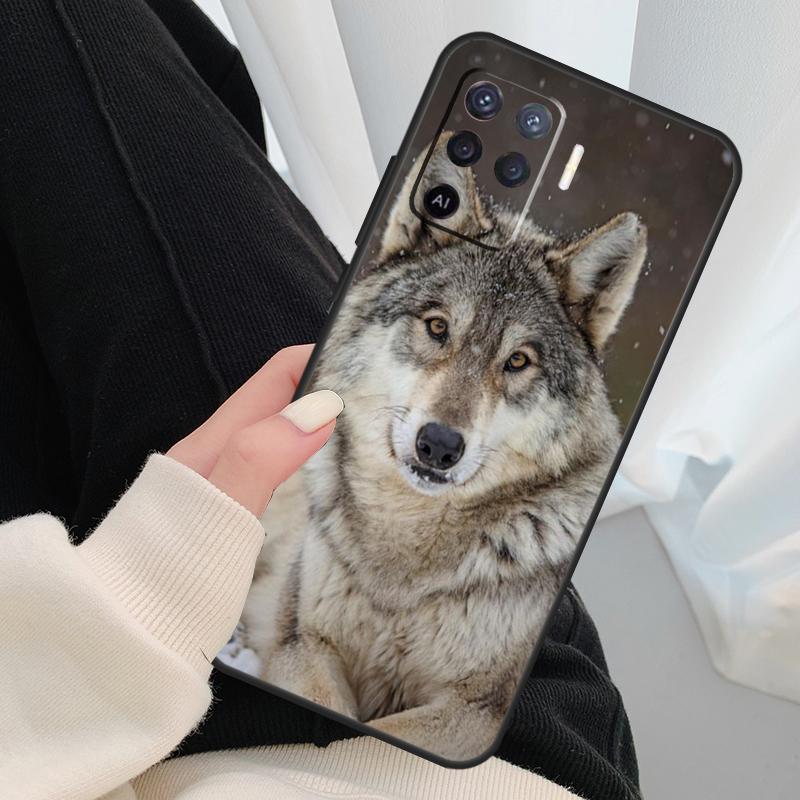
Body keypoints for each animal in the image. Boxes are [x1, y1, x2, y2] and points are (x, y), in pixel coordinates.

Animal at [242, 137, 647, 761]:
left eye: (518, 361)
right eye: (437, 327)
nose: (438, 445)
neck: (401, 566)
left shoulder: (477, 715)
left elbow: (374, 740)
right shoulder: (302, 644)